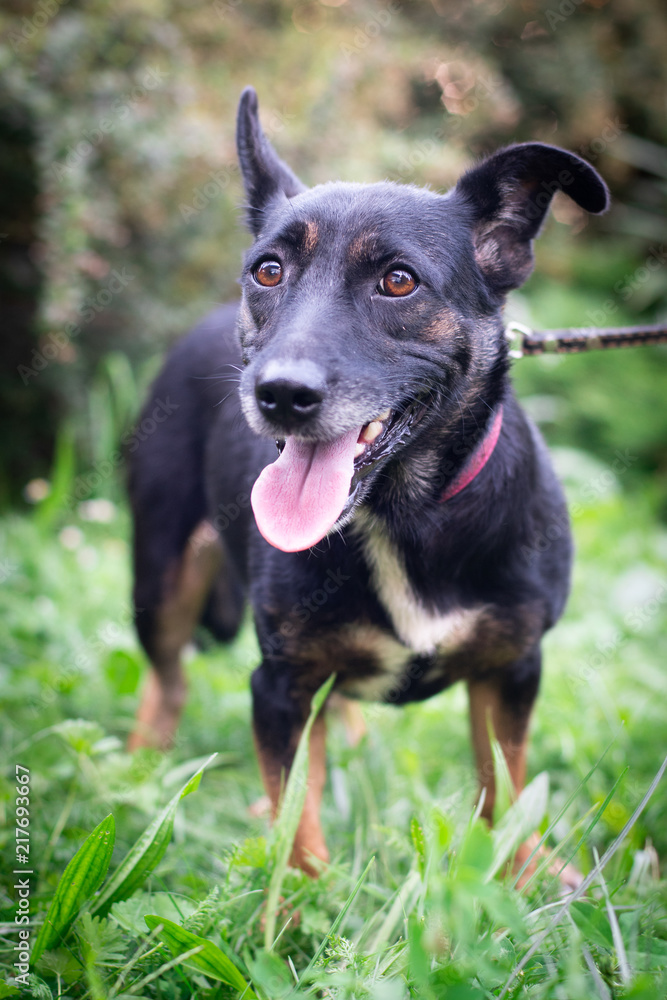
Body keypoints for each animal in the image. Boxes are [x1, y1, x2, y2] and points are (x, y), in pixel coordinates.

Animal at [126, 90, 612, 880]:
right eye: (267, 271)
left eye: (398, 280)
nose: (279, 394)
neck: (401, 512)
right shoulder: (280, 684)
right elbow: (295, 818)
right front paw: (300, 902)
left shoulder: (511, 670)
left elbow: (505, 788)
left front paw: (519, 878)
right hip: (160, 572)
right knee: (167, 679)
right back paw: (133, 777)